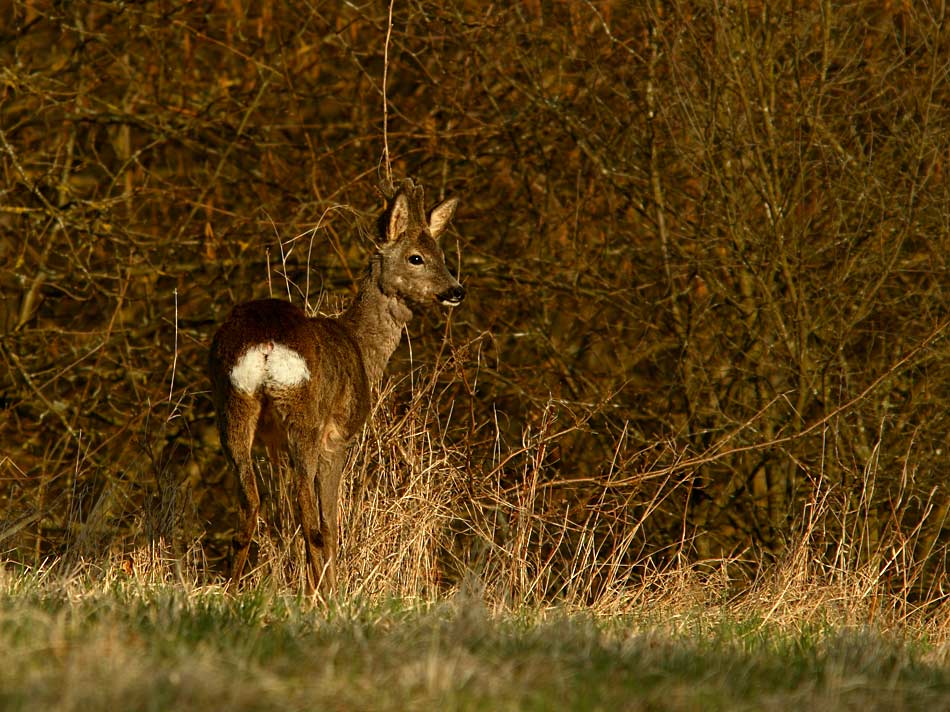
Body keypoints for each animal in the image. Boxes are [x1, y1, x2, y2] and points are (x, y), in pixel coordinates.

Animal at [210, 179, 466, 596]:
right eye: (416, 257)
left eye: (441, 254)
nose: (456, 290)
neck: (361, 347)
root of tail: (264, 345)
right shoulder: (339, 436)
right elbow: (330, 520)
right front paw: (333, 589)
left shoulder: (269, 439)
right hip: (305, 418)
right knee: (307, 513)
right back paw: (321, 592)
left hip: (232, 407)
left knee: (250, 503)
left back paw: (233, 588)